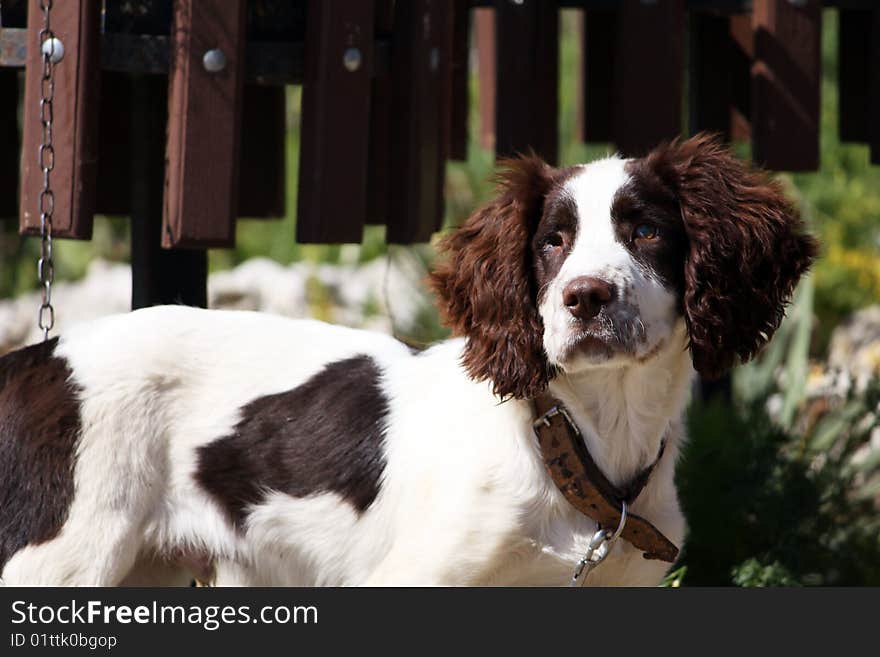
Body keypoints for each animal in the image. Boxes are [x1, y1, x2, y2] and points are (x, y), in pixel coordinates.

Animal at [0, 133, 816, 584]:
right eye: (552, 241)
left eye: (647, 231)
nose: (584, 298)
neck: (578, 444)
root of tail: (31, 358)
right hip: (60, 563)